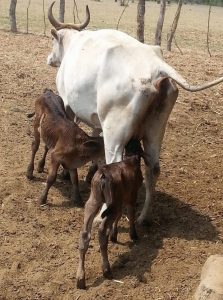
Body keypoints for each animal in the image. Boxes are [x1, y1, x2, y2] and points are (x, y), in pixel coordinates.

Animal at [47, 1, 223, 224]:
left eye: (53, 41)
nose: (50, 59)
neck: (73, 43)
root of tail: (156, 65)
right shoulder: (96, 120)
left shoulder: (68, 105)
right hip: (155, 132)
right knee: (153, 169)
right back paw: (142, 217)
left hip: (114, 134)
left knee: (114, 165)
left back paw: (101, 216)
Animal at [76, 139, 144, 290]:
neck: (130, 160)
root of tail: (103, 176)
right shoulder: (131, 196)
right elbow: (130, 214)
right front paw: (133, 235)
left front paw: (114, 235)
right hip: (113, 204)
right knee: (102, 231)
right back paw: (106, 270)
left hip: (93, 200)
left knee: (85, 234)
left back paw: (80, 279)